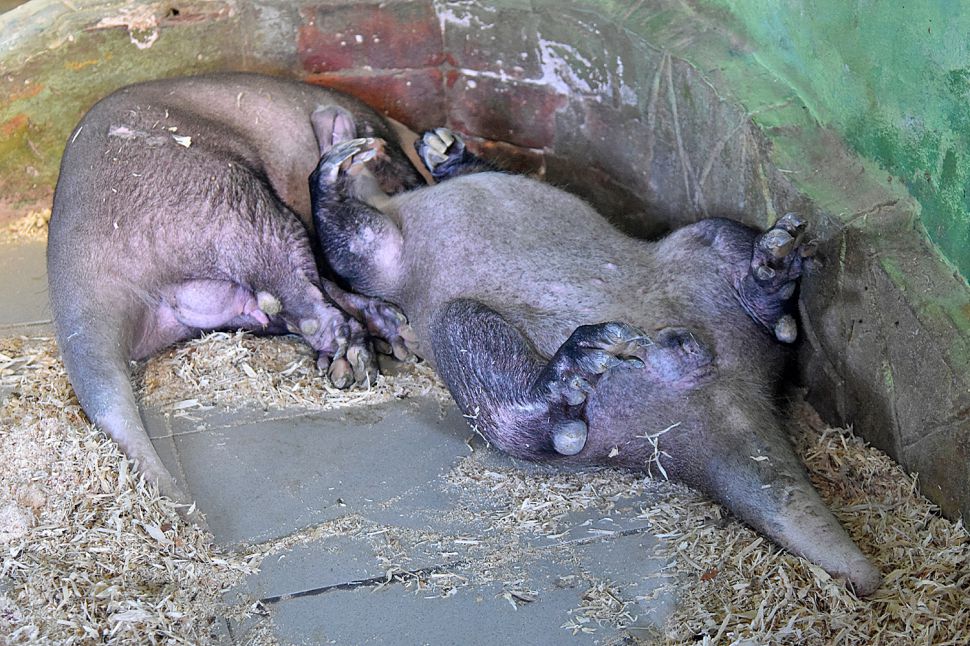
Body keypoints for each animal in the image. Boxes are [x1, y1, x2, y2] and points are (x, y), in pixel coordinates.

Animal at [47, 73, 419, 519]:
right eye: (386, 159)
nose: (414, 182)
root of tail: (81, 275)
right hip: (233, 202)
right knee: (303, 294)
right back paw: (359, 359)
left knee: (293, 301)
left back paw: (377, 343)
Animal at [306, 125, 882, 596]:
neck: (403, 202)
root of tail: (716, 390)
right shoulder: (384, 257)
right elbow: (346, 247)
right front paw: (334, 169)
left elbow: (474, 171)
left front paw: (438, 148)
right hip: (460, 325)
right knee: (508, 408)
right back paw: (569, 372)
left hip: (703, 245)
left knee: (739, 263)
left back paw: (769, 270)